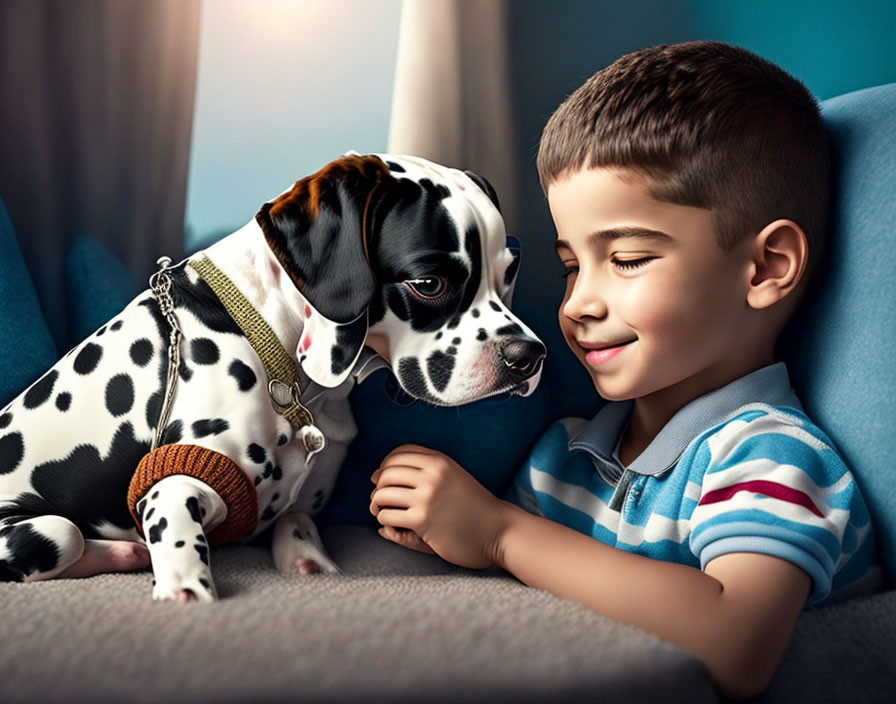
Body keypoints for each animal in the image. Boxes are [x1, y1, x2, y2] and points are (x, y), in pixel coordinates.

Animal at [0, 155, 544, 604]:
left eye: (508, 273)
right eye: (429, 283)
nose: (529, 357)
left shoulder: (300, 503)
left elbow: (298, 529)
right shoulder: (172, 482)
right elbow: (180, 539)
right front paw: (184, 587)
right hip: (41, 529)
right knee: (65, 536)